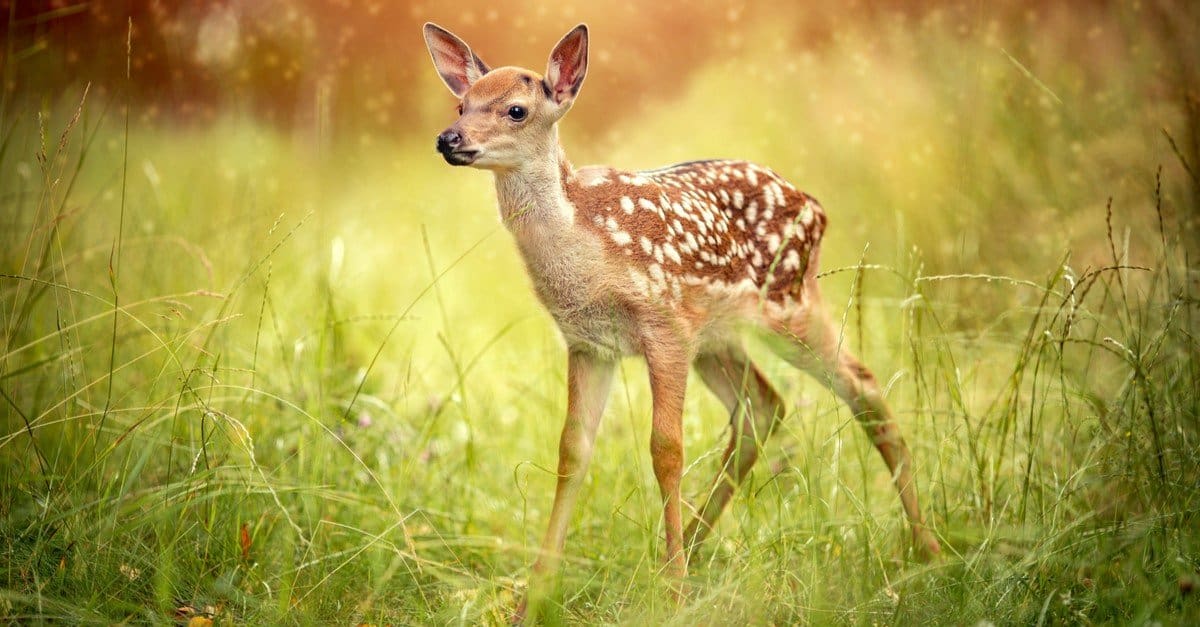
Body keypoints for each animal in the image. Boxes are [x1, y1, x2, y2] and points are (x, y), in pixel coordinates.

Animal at [422, 22, 941, 617]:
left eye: (515, 110)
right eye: (461, 104)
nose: (449, 139)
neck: (585, 245)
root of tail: (816, 206)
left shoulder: (663, 322)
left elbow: (665, 450)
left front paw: (672, 596)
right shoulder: (588, 342)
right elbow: (572, 451)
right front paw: (533, 600)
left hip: (789, 302)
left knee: (862, 384)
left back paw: (927, 549)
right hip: (717, 336)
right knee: (763, 407)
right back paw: (680, 551)